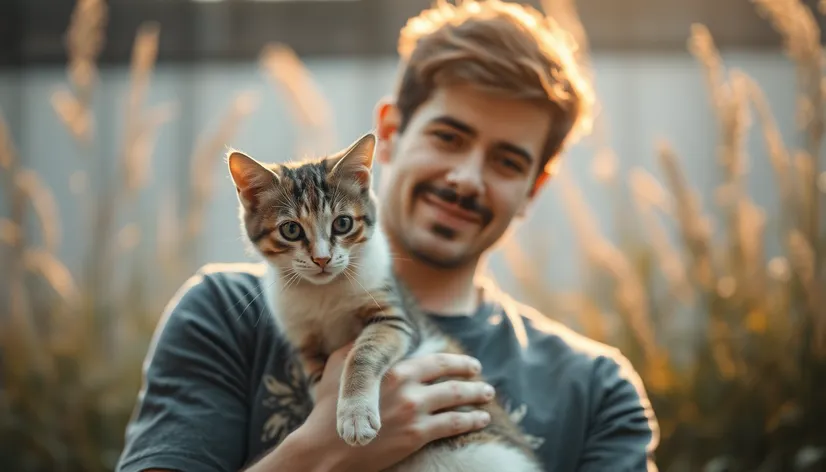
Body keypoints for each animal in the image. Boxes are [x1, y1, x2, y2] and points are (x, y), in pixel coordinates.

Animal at [225, 131, 540, 470]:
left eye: (343, 224)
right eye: (291, 229)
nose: (322, 259)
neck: (324, 293)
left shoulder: (395, 317)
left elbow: (363, 353)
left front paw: (355, 413)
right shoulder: (304, 343)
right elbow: (316, 380)